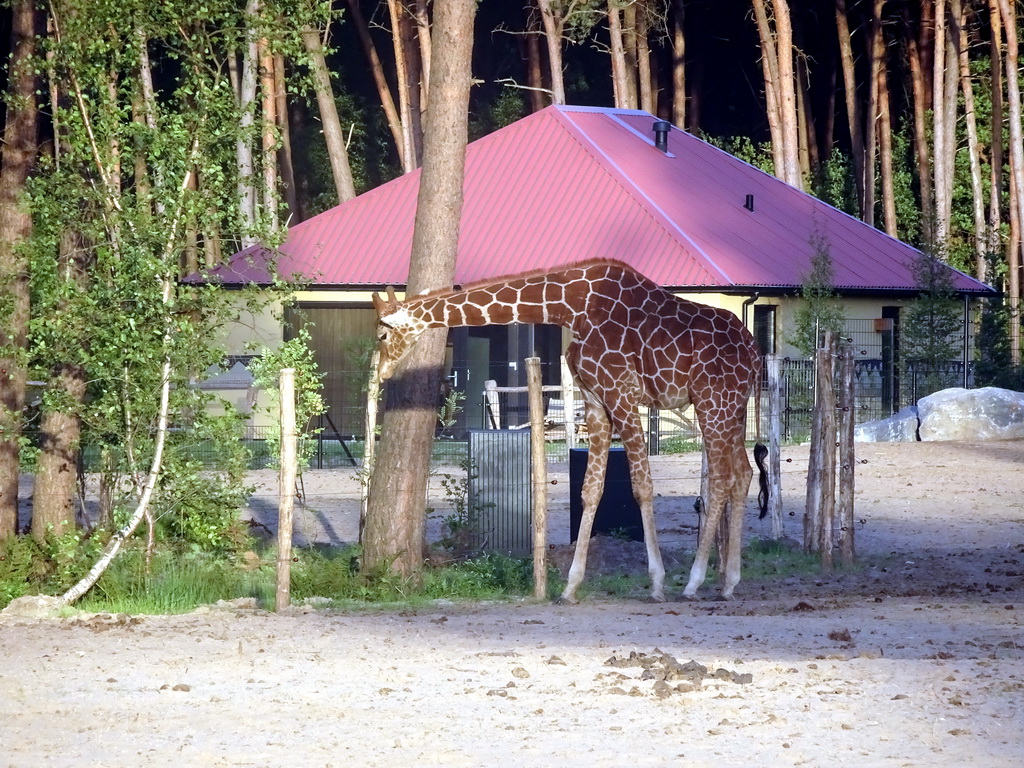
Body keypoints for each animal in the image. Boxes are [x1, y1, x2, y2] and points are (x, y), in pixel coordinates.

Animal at [372, 259, 765, 602]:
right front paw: (570, 587)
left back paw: (694, 583)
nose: (382, 373)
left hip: (712, 402)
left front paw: (656, 583)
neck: (571, 308)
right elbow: (590, 490)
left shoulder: (621, 395)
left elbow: (642, 487)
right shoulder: (595, 402)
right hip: (733, 408)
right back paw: (729, 583)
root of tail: (753, 351)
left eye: (381, 334)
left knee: (719, 480)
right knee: (743, 473)